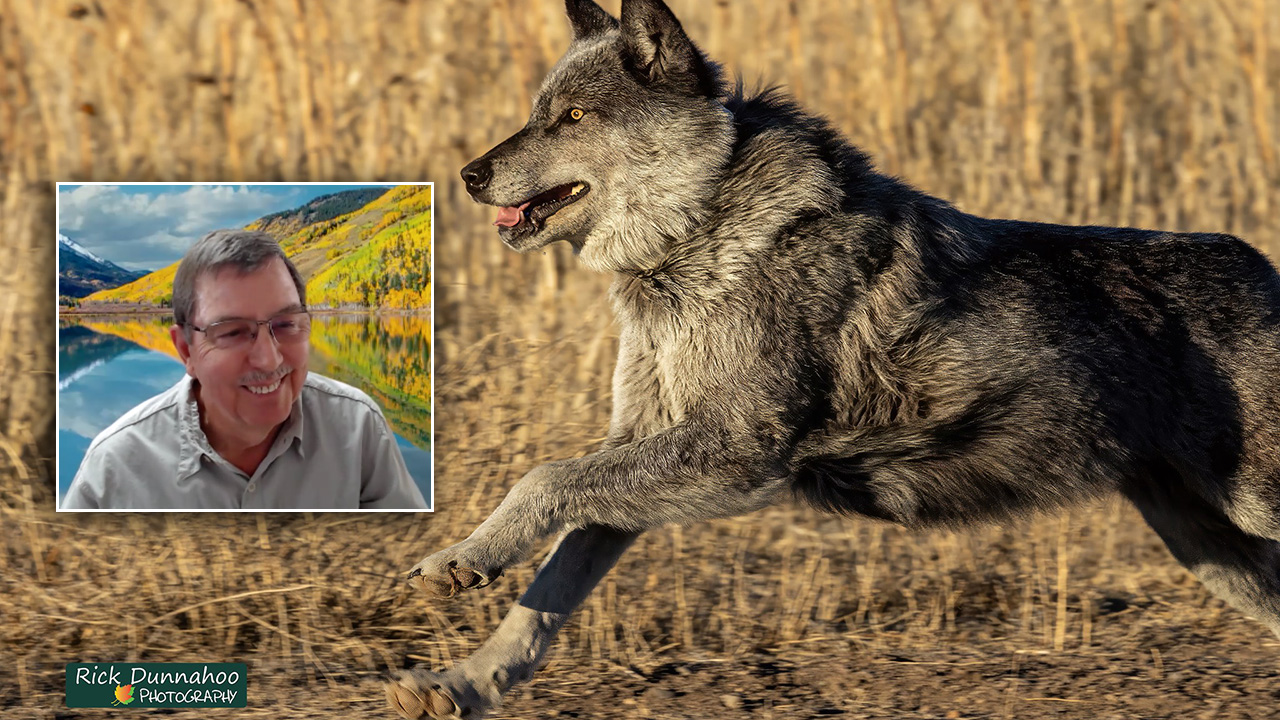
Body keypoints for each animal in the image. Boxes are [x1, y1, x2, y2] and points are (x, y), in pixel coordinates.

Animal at [387, 0, 1280, 717]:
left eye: (573, 117)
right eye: (538, 111)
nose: (467, 174)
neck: (699, 235)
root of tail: (1263, 270)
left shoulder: (734, 456)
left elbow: (541, 480)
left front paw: (462, 559)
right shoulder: (636, 461)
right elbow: (543, 602)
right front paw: (462, 684)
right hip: (1211, 548)